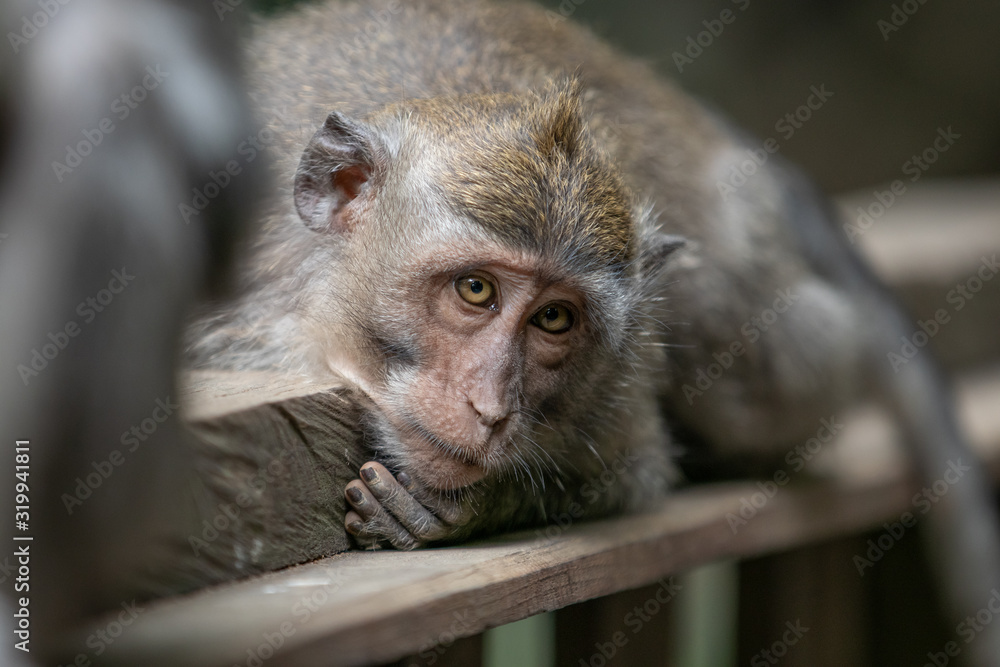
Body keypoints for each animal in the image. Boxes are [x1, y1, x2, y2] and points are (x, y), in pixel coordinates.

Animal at [186, 0, 1000, 656]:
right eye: (476, 290)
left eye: (554, 318)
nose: (491, 408)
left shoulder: (619, 387)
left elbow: (637, 470)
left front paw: (478, 508)